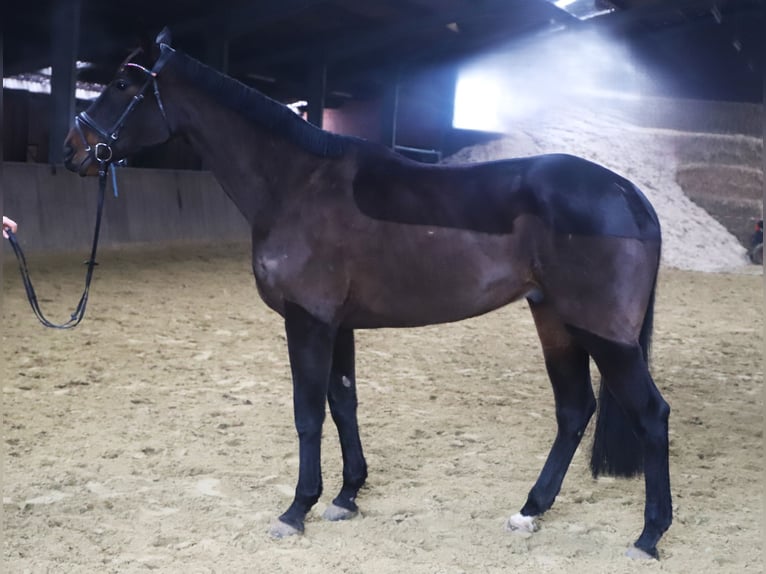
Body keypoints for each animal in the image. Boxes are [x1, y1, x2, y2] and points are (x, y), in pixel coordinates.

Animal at [63, 29, 672, 559]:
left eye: (122, 83)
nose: (73, 151)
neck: (296, 183)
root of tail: (626, 192)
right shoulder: (339, 324)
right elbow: (343, 402)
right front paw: (347, 495)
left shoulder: (306, 319)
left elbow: (308, 412)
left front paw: (297, 510)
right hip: (556, 322)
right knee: (574, 410)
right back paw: (531, 510)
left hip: (603, 334)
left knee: (650, 414)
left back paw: (648, 537)